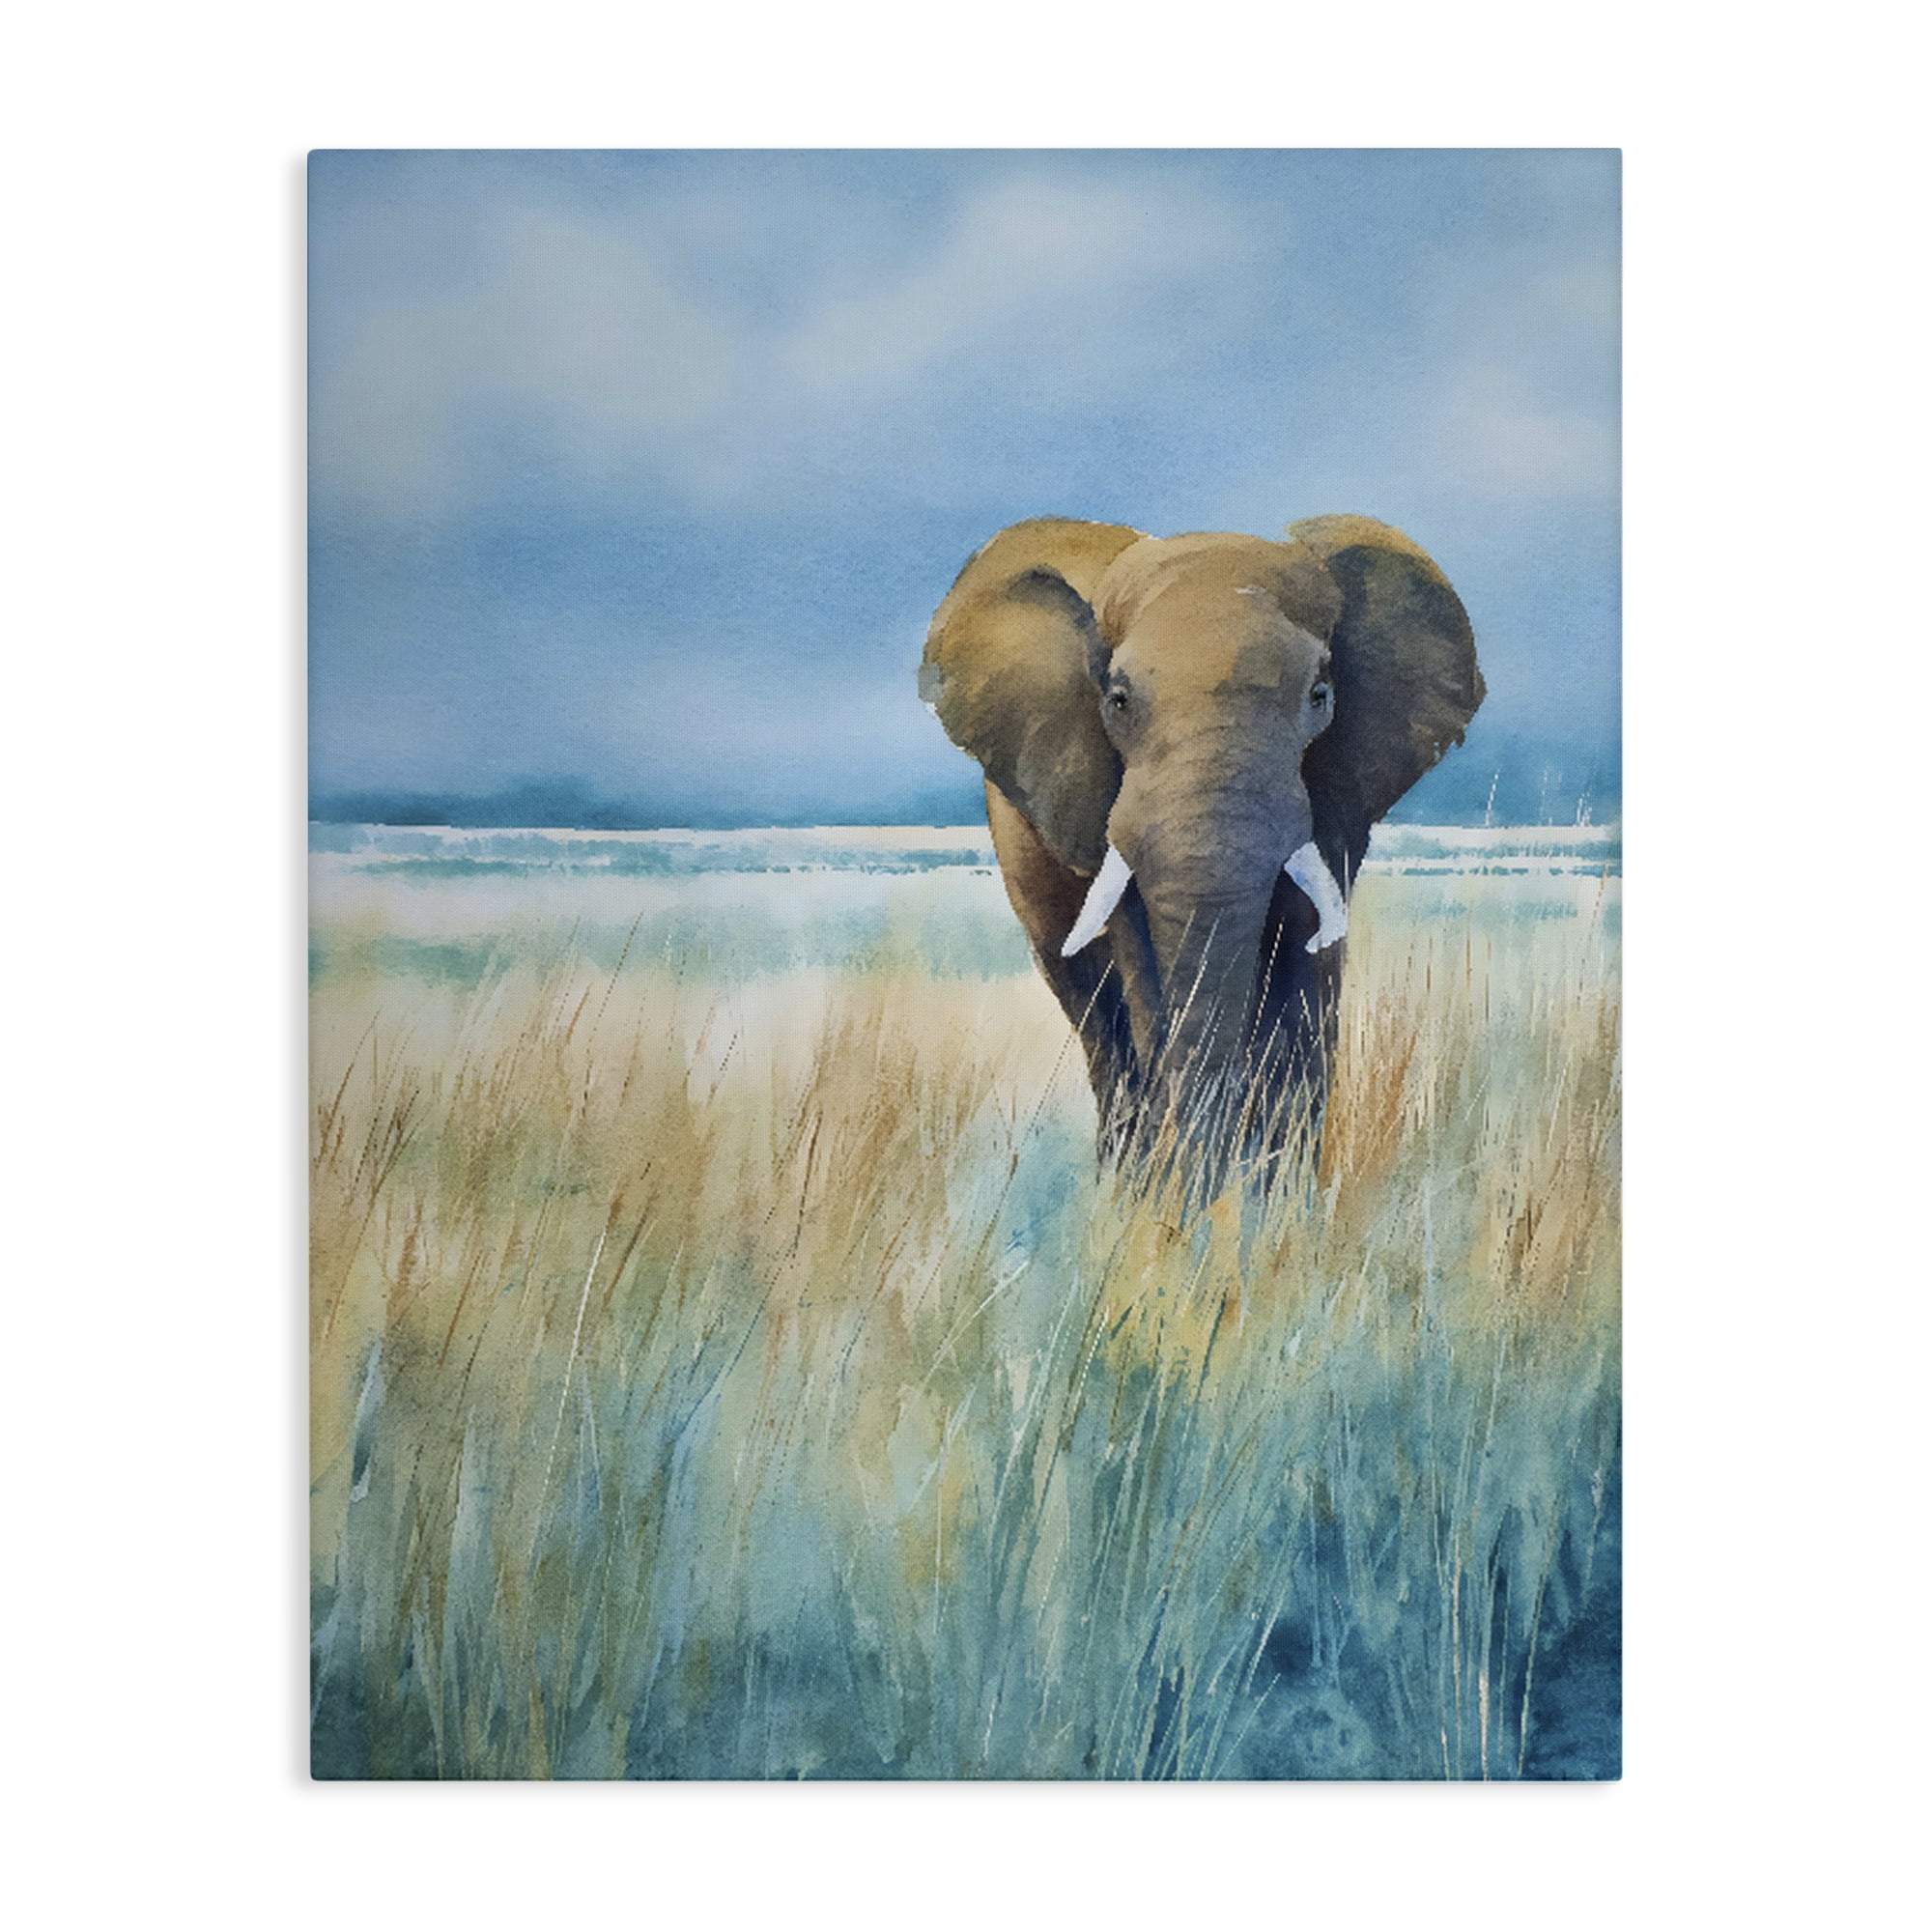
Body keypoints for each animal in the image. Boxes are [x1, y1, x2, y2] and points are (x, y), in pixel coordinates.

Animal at [920, 513, 1483, 1190]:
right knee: (1095, 1017)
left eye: (1320, 695)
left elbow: (1305, 956)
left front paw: (1276, 1199)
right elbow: (1137, 953)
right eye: (1117, 700)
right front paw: (1171, 1199)